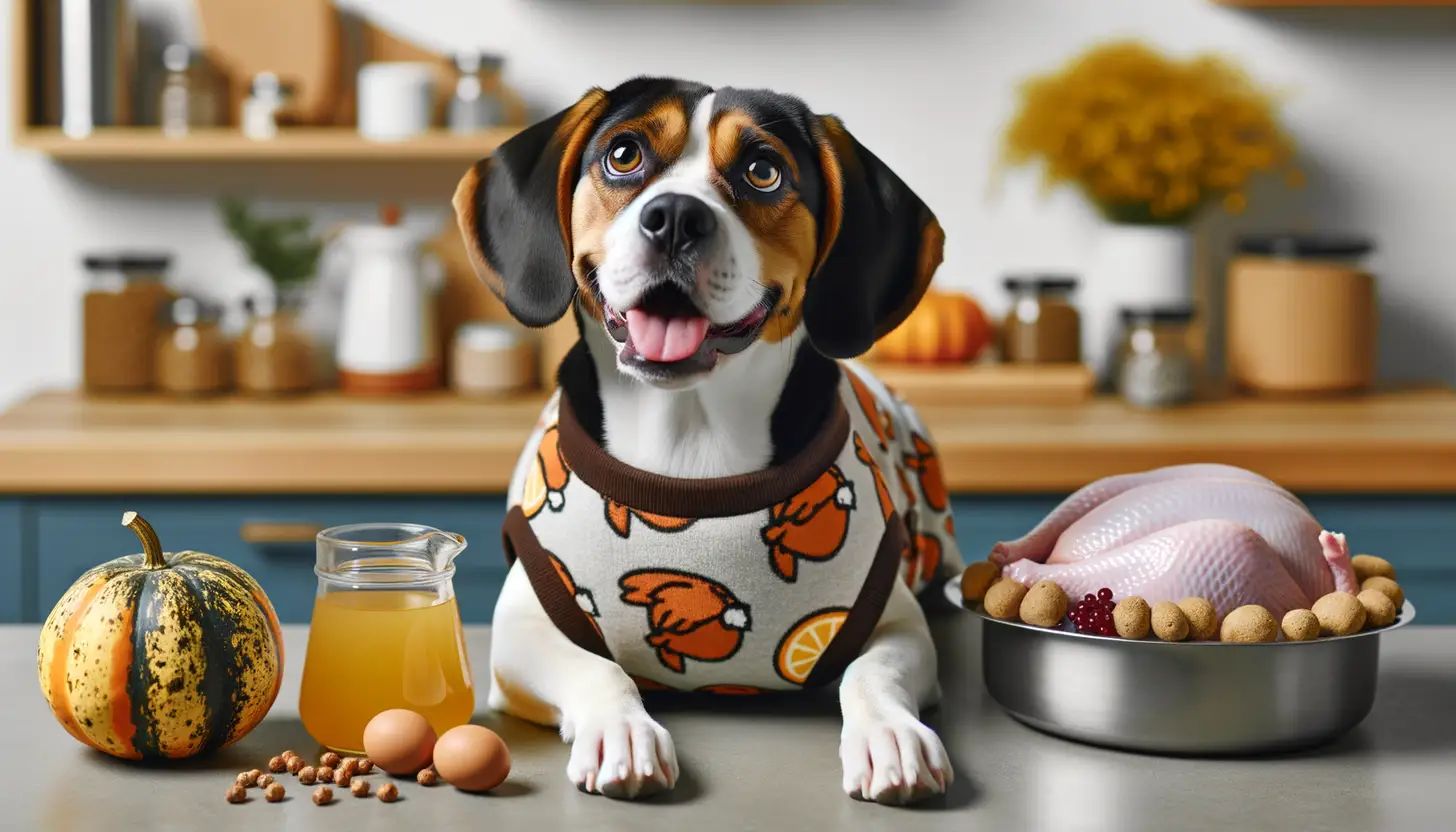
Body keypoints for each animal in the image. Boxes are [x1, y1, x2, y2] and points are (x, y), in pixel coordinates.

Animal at [448, 77, 960, 810]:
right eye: (623, 155)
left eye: (763, 170)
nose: (675, 218)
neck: (688, 439)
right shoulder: (522, 630)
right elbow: (599, 670)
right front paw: (623, 731)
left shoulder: (894, 620)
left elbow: (873, 672)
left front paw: (890, 736)